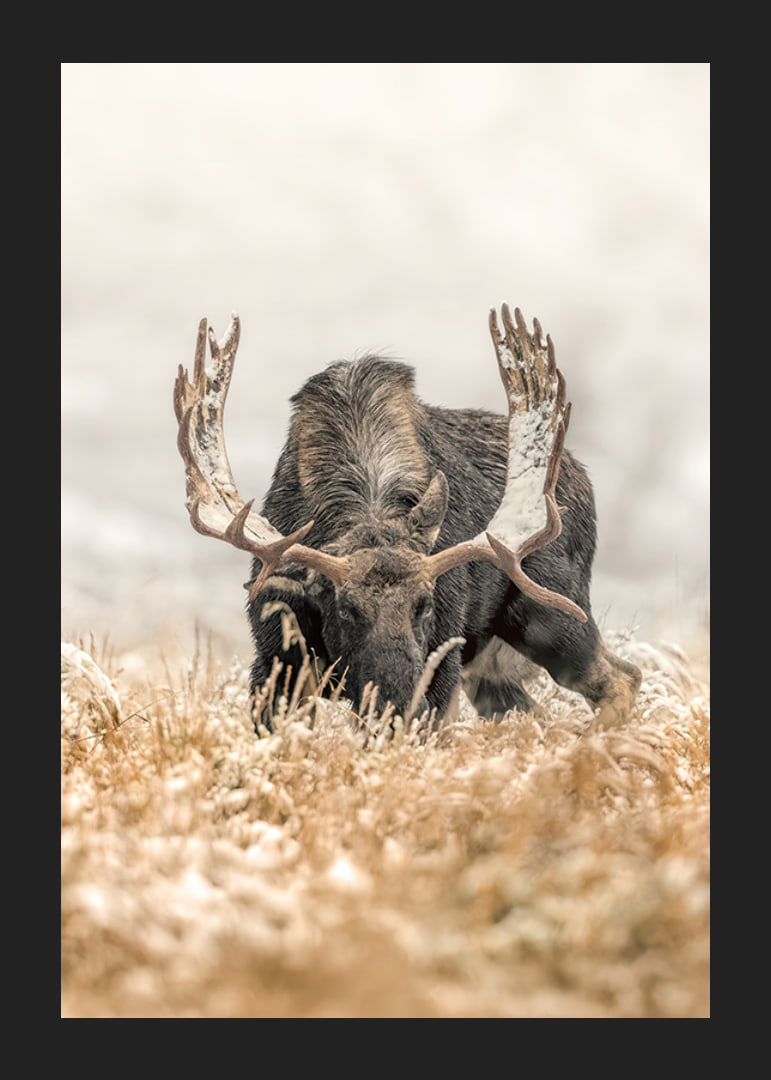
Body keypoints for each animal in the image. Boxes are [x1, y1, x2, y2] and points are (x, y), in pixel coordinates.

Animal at [174, 304, 641, 732]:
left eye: (425, 604)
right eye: (345, 609)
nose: (398, 699)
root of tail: (581, 478)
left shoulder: (443, 662)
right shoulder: (277, 659)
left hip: (552, 616)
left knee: (624, 677)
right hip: (493, 666)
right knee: (538, 712)